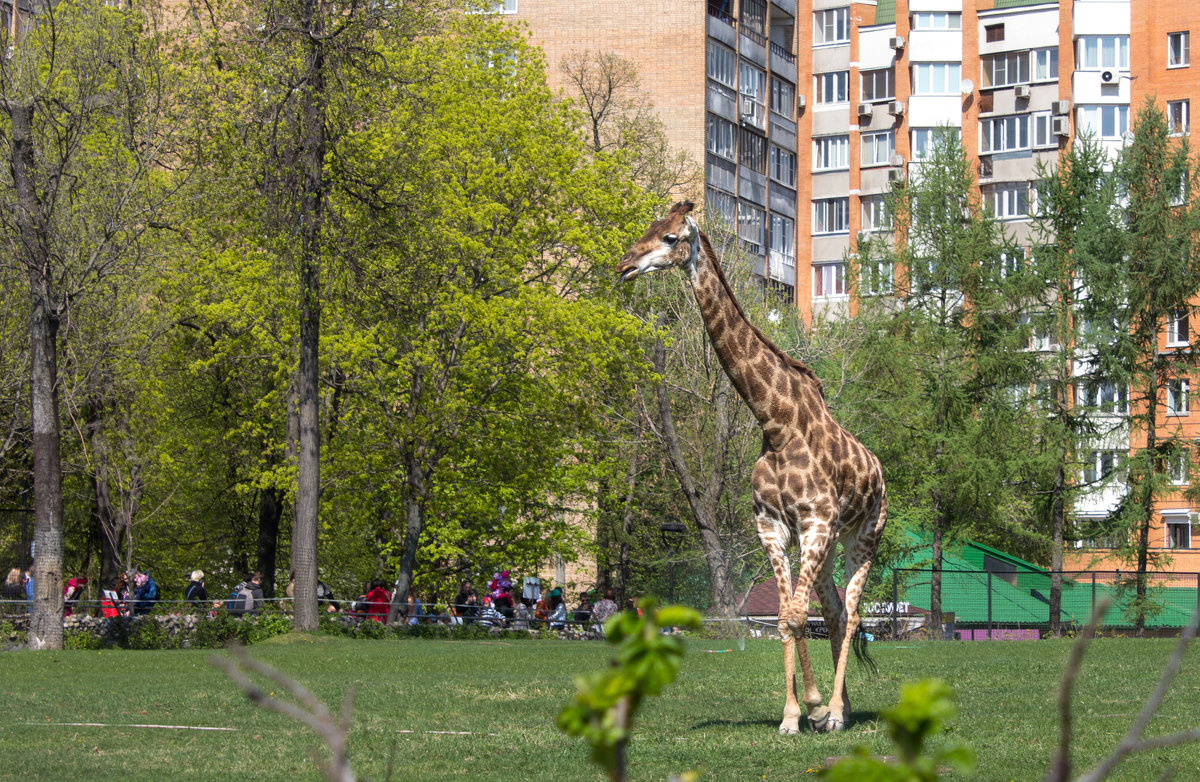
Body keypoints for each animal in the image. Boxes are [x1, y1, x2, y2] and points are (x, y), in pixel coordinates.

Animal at [619, 201, 892, 734]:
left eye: (668, 238)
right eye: (646, 228)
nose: (624, 266)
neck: (776, 422)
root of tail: (880, 470)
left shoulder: (815, 522)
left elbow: (794, 616)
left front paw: (813, 705)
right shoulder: (773, 525)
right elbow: (788, 614)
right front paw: (794, 714)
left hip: (863, 535)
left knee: (851, 614)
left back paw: (838, 713)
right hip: (829, 543)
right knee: (831, 611)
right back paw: (839, 708)